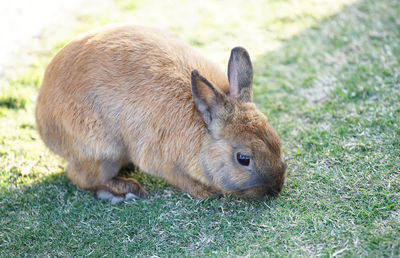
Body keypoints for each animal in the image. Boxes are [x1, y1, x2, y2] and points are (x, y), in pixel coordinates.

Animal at [36, 24, 286, 202]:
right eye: (243, 159)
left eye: (276, 139)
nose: (275, 189)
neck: (203, 128)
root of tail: (41, 118)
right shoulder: (160, 160)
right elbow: (179, 179)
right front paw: (205, 192)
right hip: (102, 151)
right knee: (82, 177)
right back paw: (125, 190)